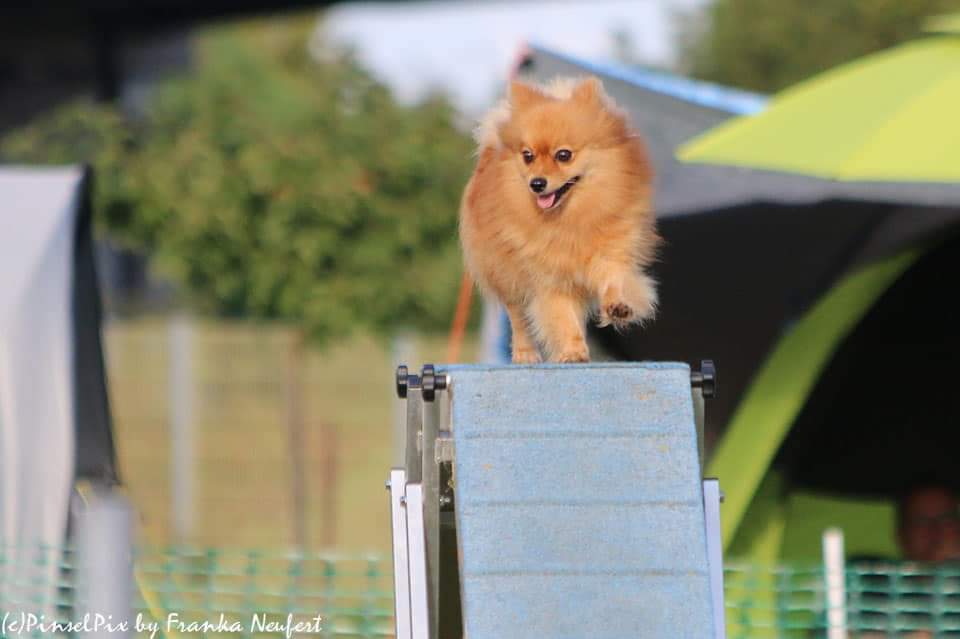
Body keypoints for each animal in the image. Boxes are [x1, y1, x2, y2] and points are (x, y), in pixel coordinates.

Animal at [459, 76, 659, 363]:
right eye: (528, 156)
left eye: (564, 155)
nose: (537, 183)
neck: (572, 218)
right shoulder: (549, 277)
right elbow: (562, 317)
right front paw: (573, 351)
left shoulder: (612, 254)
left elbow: (614, 281)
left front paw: (617, 306)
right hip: (506, 275)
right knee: (518, 317)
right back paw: (525, 353)